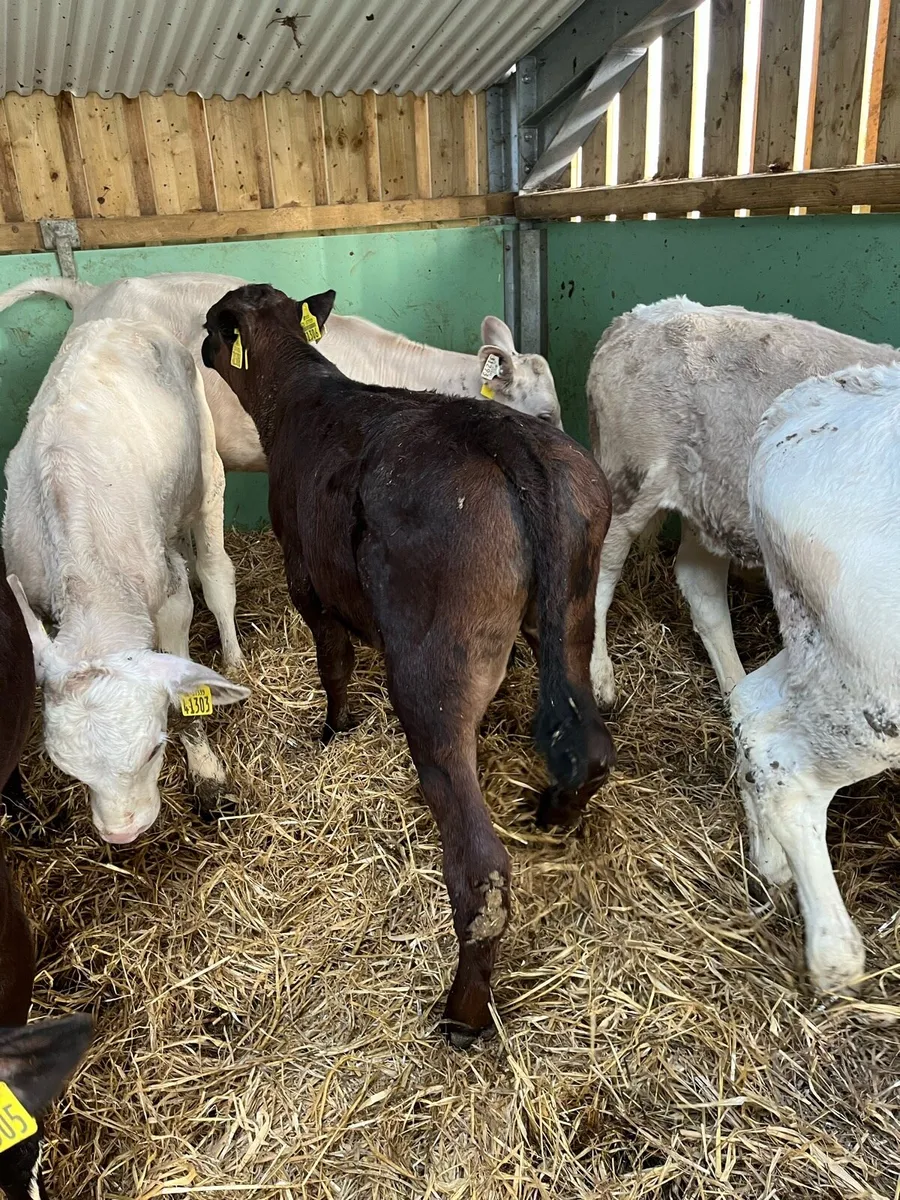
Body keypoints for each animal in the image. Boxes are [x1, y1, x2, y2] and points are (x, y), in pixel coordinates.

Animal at [3, 318, 249, 844]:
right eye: (68, 771)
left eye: (155, 750)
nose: (120, 833)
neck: (92, 582)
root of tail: (120, 322)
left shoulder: (171, 601)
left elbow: (185, 687)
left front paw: (206, 773)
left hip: (206, 465)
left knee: (215, 574)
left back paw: (234, 657)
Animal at [200, 283, 615, 1047]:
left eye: (215, 325)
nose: (199, 344)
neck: (301, 392)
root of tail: (504, 438)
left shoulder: (308, 582)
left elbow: (333, 663)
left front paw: (332, 731)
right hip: (570, 614)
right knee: (590, 748)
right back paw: (553, 813)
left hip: (429, 670)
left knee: (481, 872)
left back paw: (462, 1014)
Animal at [586, 297, 899, 708]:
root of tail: (635, 318)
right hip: (629, 479)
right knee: (600, 570)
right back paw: (600, 678)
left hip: (709, 497)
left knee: (700, 586)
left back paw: (737, 692)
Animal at [732, 362, 900, 994]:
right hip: (874, 686)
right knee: (787, 763)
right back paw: (834, 952)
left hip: (819, 645)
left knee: (750, 705)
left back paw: (770, 858)